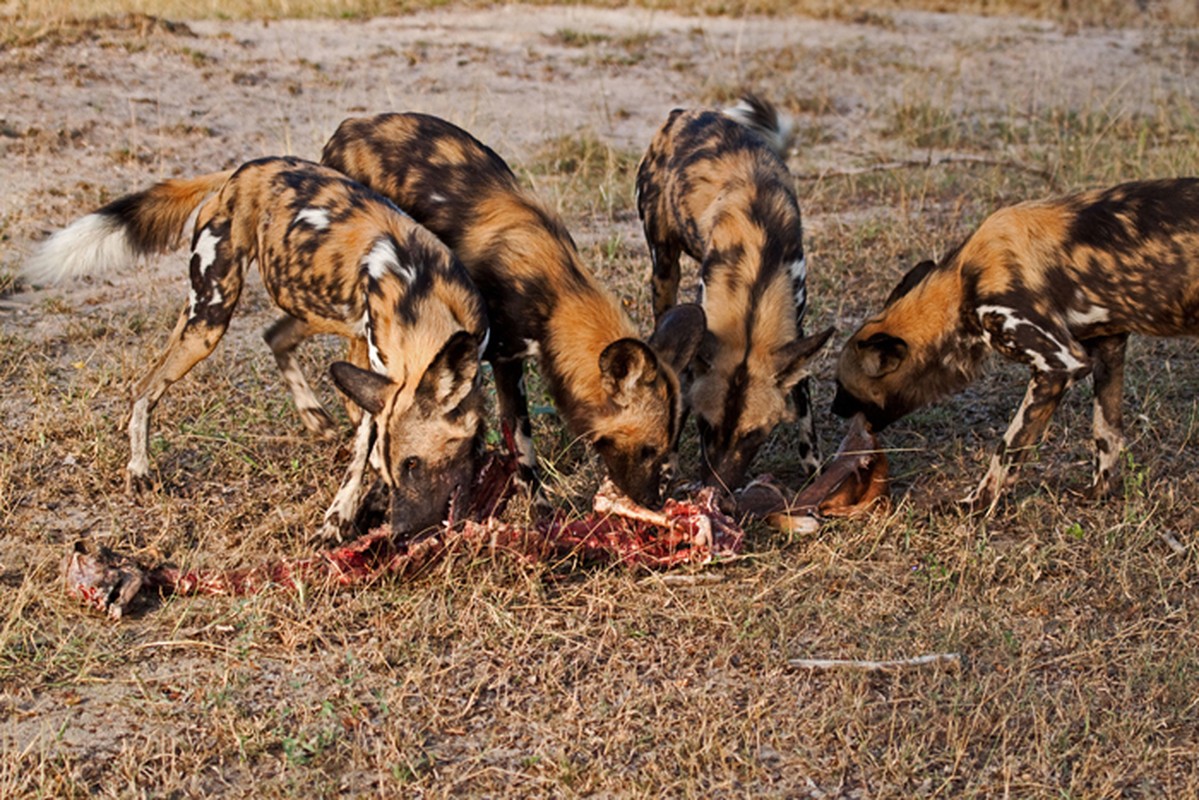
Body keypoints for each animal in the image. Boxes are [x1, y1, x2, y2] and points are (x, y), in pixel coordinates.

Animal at [22, 155, 486, 542]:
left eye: (414, 465)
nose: (401, 532)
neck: (423, 296)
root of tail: (241, 172)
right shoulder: (381, 378)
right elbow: (360, 456)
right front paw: (337, 520)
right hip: (209, 319)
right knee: (145, 387)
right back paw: (139, 468)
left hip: (312, 307)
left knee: (275, 336)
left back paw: (313, 415)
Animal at [323, 112, 705, 506]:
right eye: (646, 450)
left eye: (665, 450)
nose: (652, 501)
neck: (556, 295)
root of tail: (350, 124)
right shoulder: (495, 361)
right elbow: (513, 441)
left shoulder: (501, 359)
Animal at [637, 95, 834, 491]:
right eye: (704, 426)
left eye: (753, 435)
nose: (718, 489)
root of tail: (684, 113)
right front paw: (668, 468)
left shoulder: (795, 335)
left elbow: (805, 414)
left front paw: (816, 476)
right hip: (663, 269)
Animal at [829, 177, 1199, 513]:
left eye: (841, 387)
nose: (833, 411)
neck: (961, 287)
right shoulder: (1108, 347)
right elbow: (1106, 434)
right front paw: (1099, 495)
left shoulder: (1060, 363)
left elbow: (1006, 448)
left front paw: (975, 506)